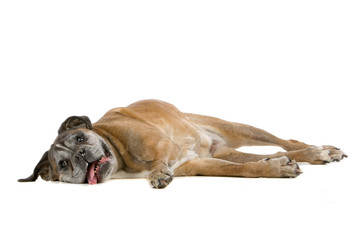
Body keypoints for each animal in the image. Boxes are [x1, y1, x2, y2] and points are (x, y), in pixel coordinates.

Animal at [18, 99, 348, 188]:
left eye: (79, 138)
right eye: (63, 164)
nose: (81, 155)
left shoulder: (166, 148)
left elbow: (159, 160)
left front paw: (157, 173)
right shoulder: (201, 163)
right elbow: (247, 170)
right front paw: (275, 170)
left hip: (240, 129)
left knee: (286, 141)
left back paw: (321, 151)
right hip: (224, 150)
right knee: (274, 151)